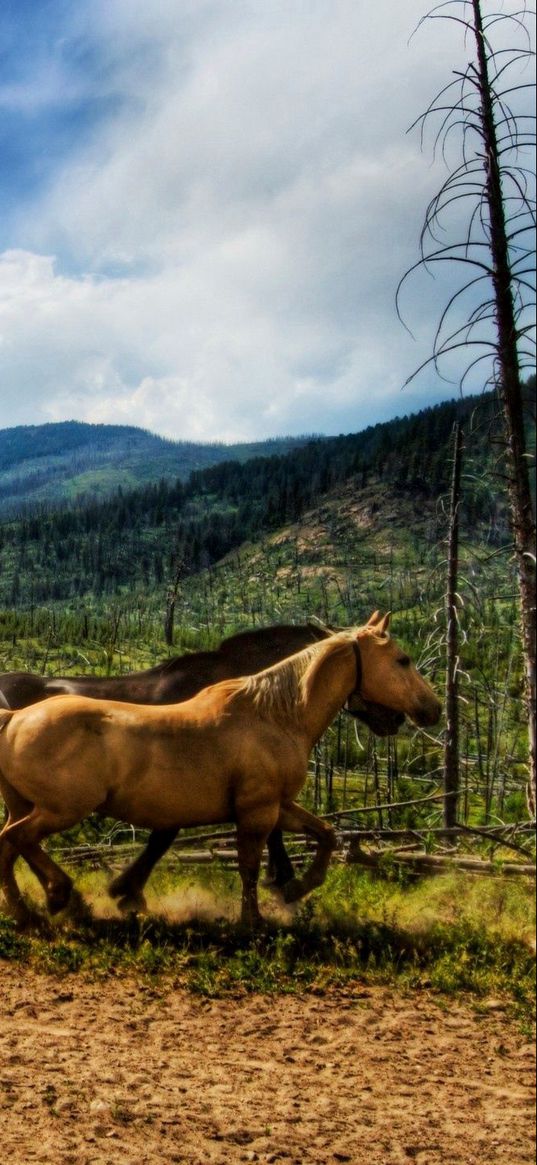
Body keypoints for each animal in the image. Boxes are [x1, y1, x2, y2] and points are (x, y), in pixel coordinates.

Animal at [0, 615, 440, 922]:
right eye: (403, 660)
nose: (431, 709)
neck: (273, 714)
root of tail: (15, 718)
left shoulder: (275, 805)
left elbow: (326, 835)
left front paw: (294, 888)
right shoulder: (255, 808)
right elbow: (248, 860)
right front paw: (258, 914)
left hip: (27, 806)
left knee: (11, 843)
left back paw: (35, 909)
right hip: (63, 809)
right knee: (16, 840)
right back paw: (60, 897)